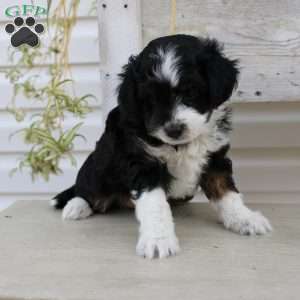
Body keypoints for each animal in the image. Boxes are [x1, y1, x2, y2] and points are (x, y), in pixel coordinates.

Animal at [51, 34, 272, 258]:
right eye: (150, 100)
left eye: (191, 92)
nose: (173, 129)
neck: (181, 145)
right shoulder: (143, 165)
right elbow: (155, 205)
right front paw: (158, 240)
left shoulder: (215, 159)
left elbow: (227, 192)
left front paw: (245, 219)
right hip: (98, 170)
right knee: (85, 189)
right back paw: (76, 206)